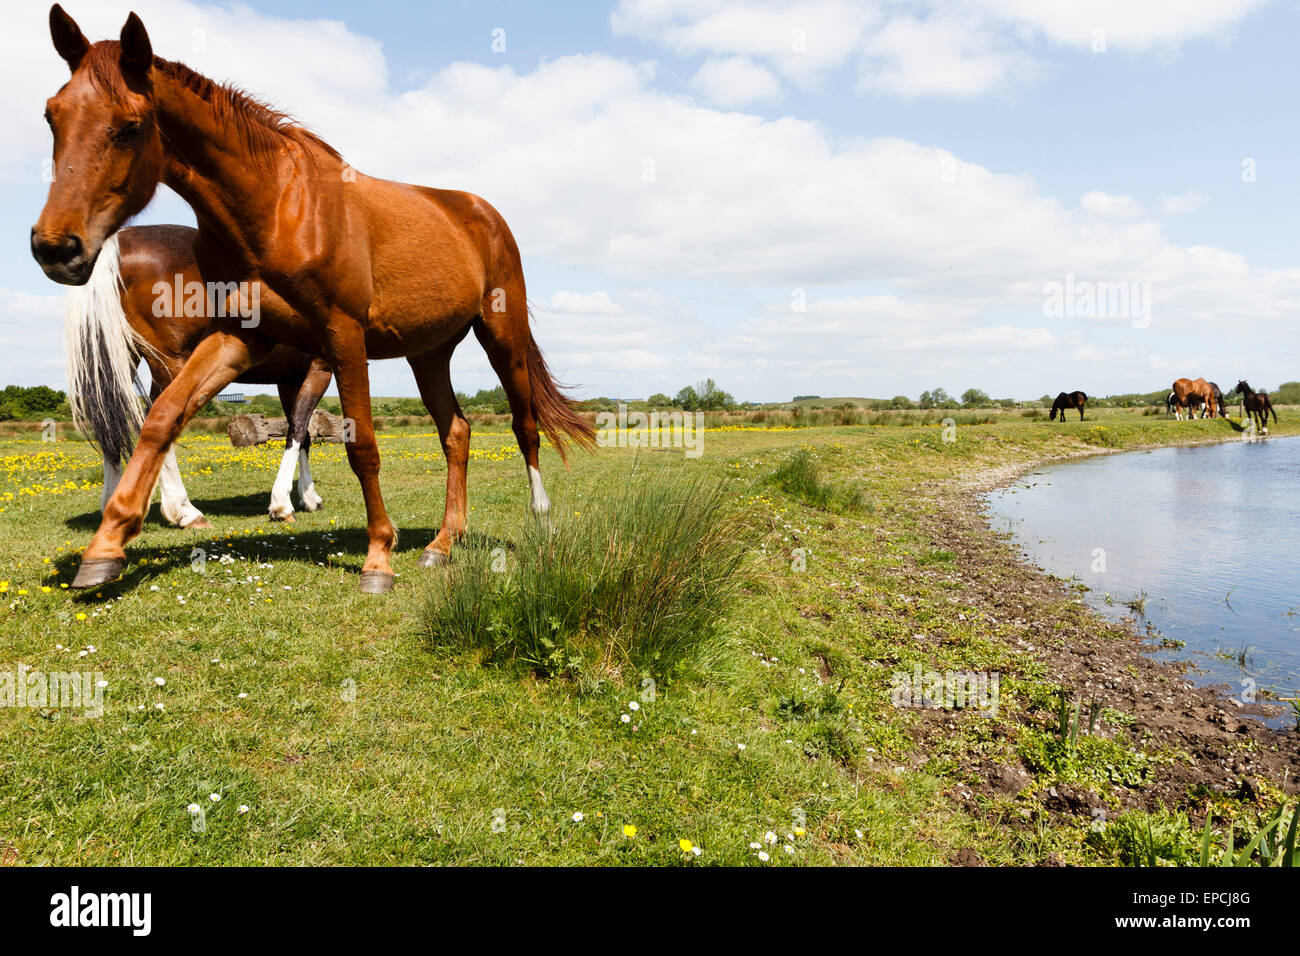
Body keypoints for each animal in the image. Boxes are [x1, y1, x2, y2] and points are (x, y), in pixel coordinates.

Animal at [69, 223, 335, 528]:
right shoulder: (319, 370)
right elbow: (299, 429)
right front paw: (283, 503)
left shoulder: (289, 379)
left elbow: (303, 435)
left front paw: (307, 497)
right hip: (170, 366)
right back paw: (184, 510)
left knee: (109, 424)